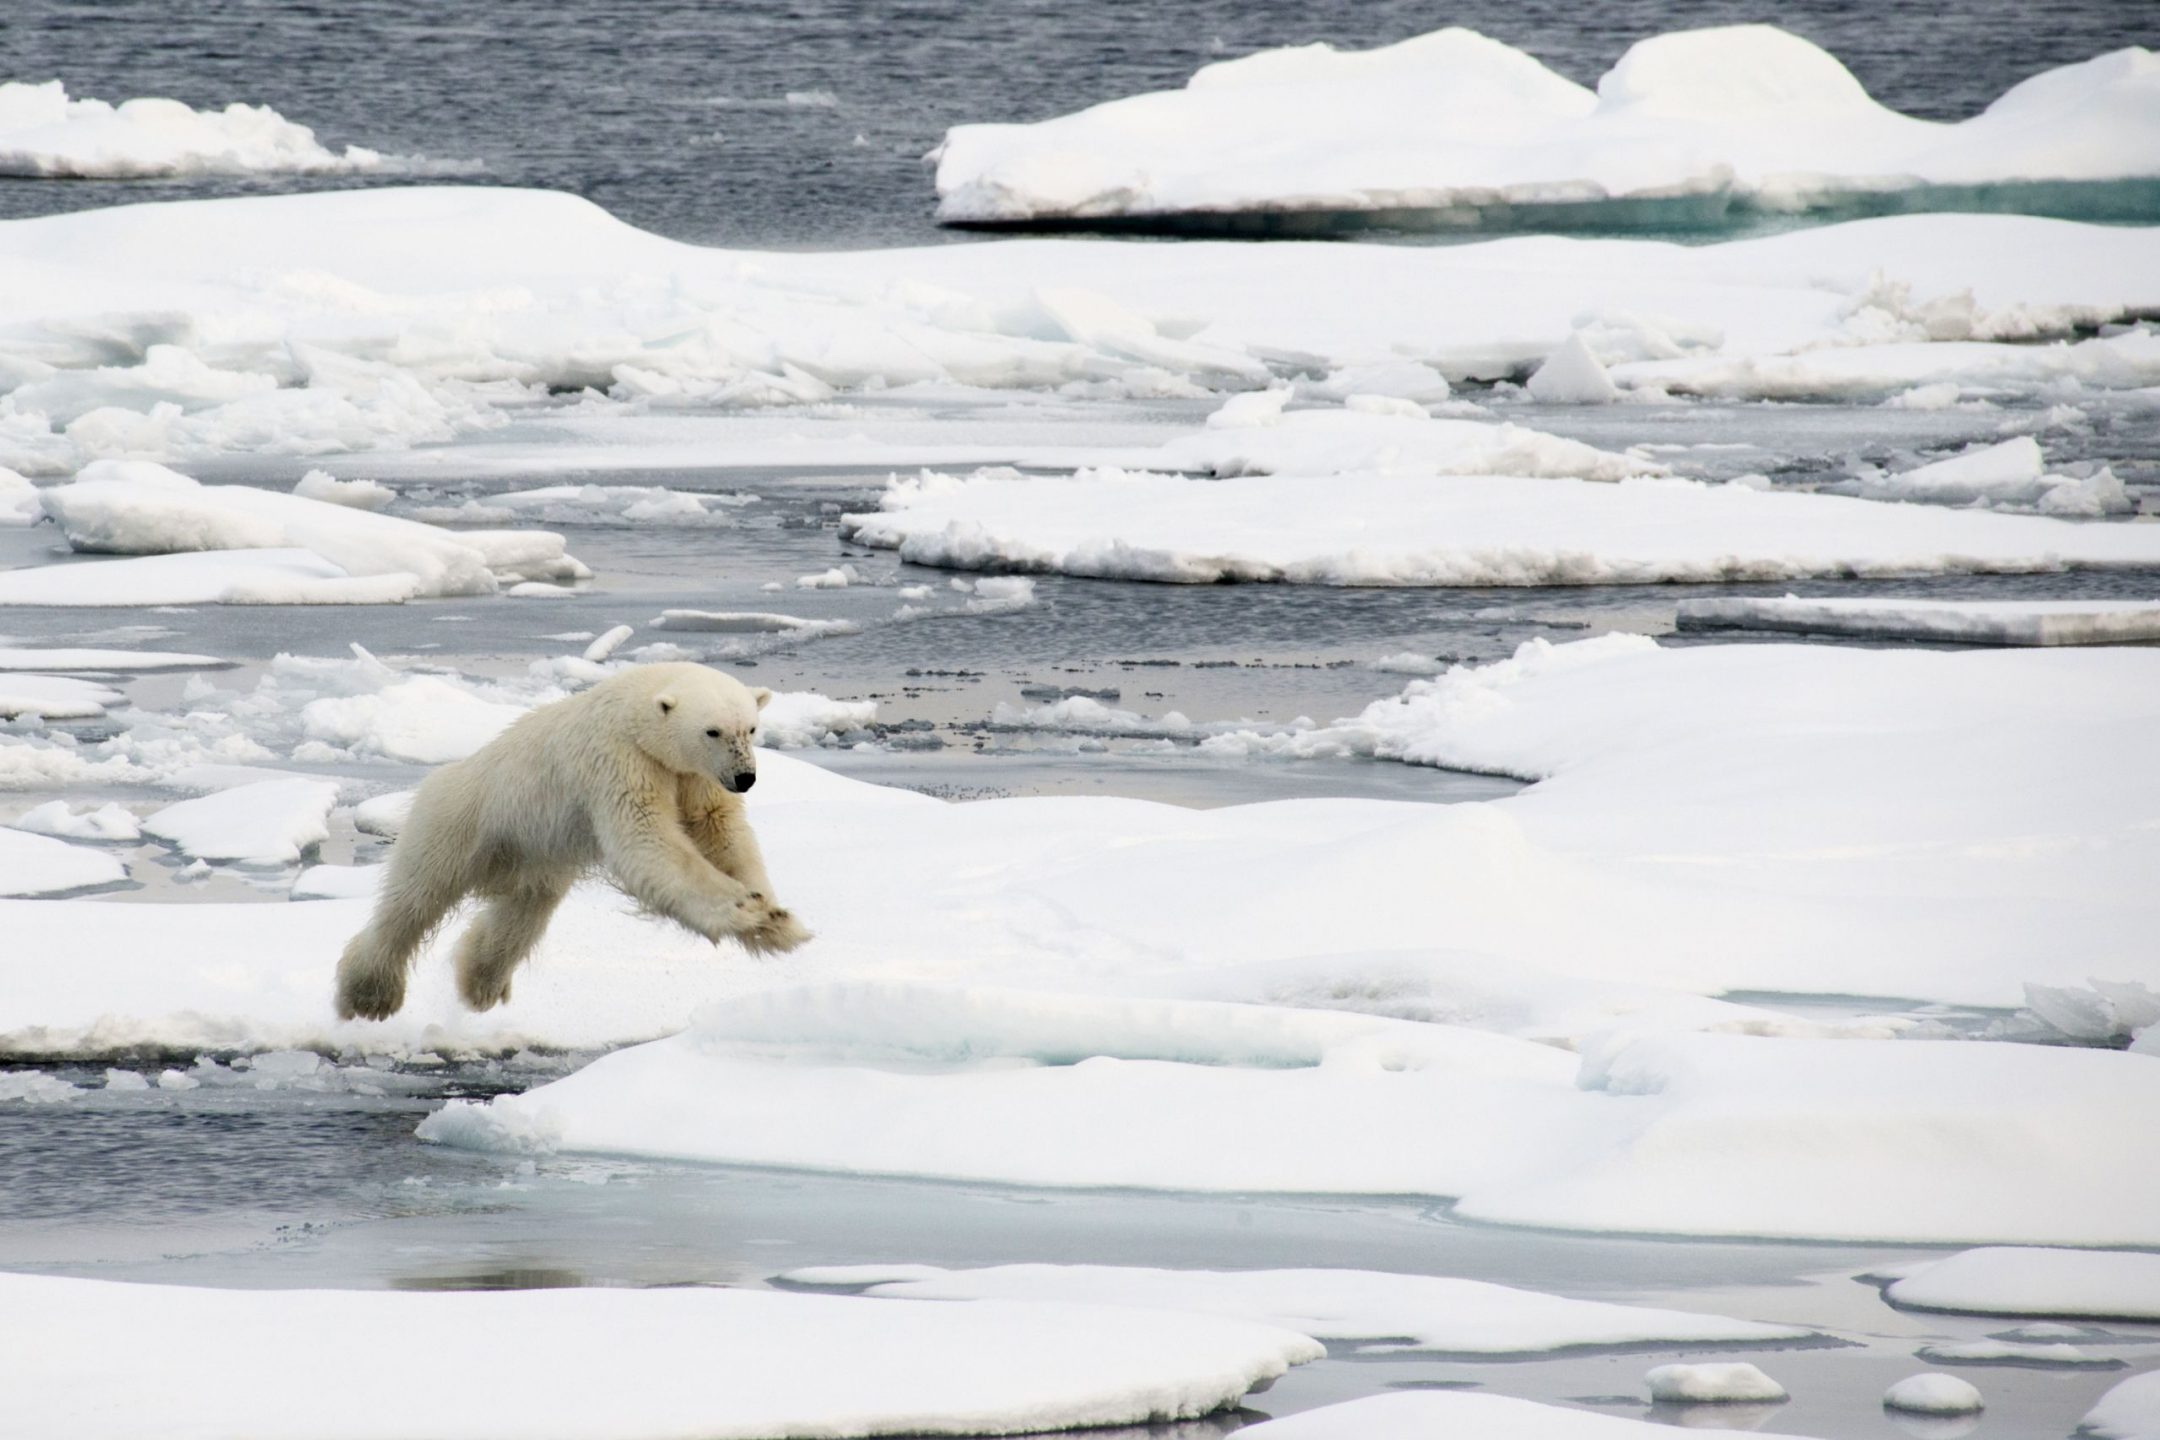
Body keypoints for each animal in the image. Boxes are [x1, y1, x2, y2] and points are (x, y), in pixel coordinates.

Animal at [334, 662, 811, 1021]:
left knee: (521, 915)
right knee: (415, 900)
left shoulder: (696, 778)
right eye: (712, 731)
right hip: (459, 822)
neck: (634, 711)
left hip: (536, 854)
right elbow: (648, 840)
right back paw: (369, 995)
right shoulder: (621, 761)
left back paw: (481, 984)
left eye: (751, 729)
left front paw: (777, 919)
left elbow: (720, 832)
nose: (745, 778)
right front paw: (742, 909)